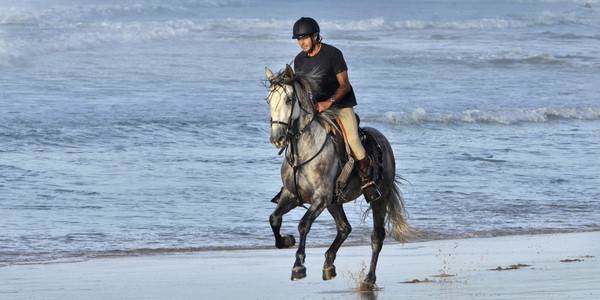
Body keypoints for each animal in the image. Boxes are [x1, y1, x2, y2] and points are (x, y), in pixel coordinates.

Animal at [264, 65, 410, 290]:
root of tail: (384, 141)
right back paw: (329, 264)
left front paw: (298, 265)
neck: (303, 152)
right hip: (335, 201)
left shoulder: (320, 197)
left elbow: (303, 224)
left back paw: (369, 279)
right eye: (268, 100)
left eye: (289, 100)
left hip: (379, 198)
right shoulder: (292, 195)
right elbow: (274, 219)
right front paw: (287, 240)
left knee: (377, 236)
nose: (277, 138)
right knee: (344, 228)